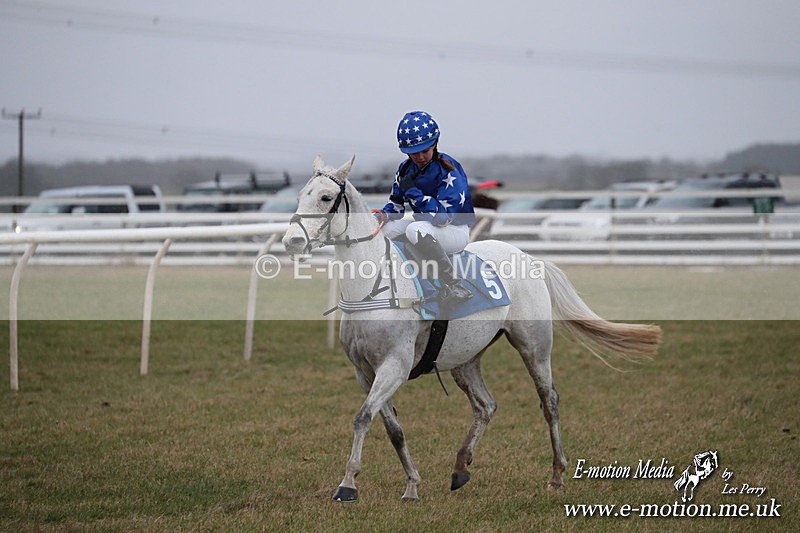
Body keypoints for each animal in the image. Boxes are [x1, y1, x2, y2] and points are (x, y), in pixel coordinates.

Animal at [282, 155, 661, 502]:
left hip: (534, 346)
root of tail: (531, 258)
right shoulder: (365, 371)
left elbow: (363, 418)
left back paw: (556, 475)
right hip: (465, 359)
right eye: (301, 194)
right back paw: (461, 467)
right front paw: (412, 485)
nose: (291, 242)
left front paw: (348, 484)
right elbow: (393, 429)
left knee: (549, 400)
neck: (375, 284)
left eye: (326, 197)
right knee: (485, 405)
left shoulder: (394, 366)